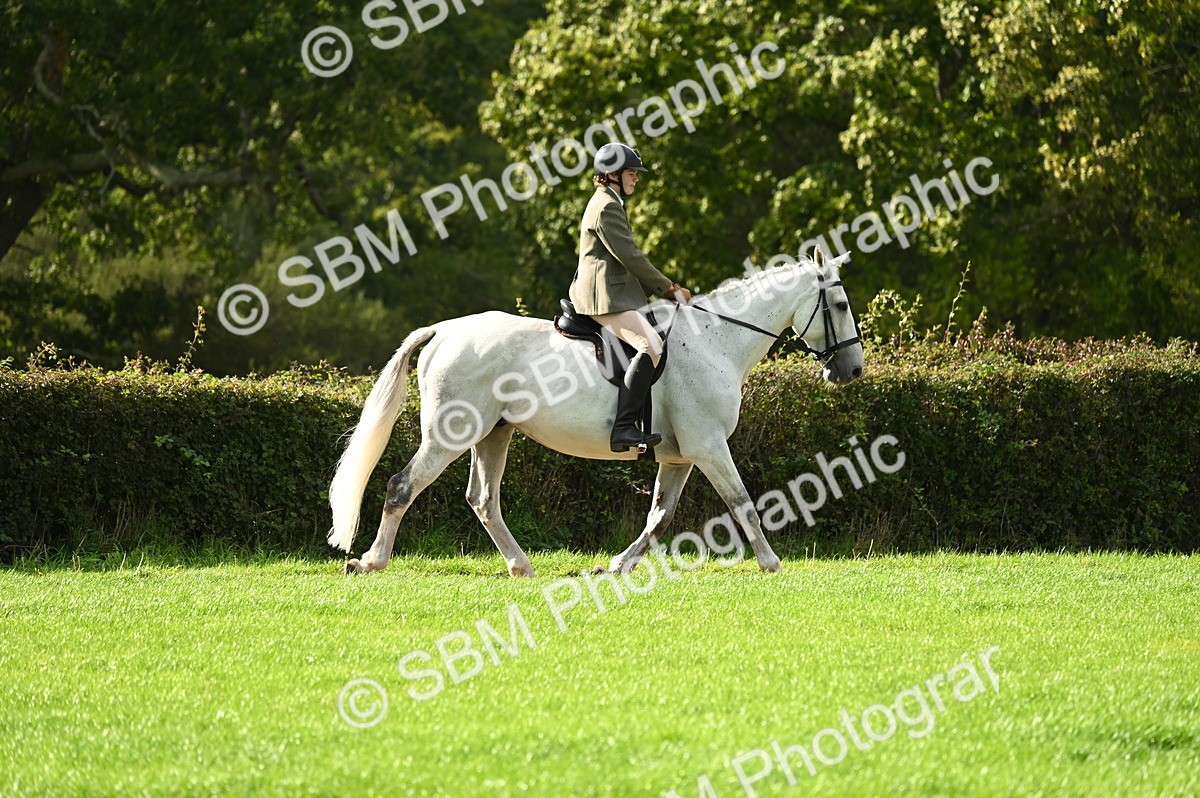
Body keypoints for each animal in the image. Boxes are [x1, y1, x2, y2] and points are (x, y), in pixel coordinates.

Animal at [328, 249, 864, 576]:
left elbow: (659, 517)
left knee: (483, 499)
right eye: (839, 303)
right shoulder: (710, 447)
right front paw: (771, 562)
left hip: (493, 434)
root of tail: (444, 329)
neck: (716, 341)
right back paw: (371, 561)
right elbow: (742, 503)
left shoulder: (679, 457)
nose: (852, 370)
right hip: (449, 435)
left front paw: (618, 565)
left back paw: (521, 566)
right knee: (403, 486)